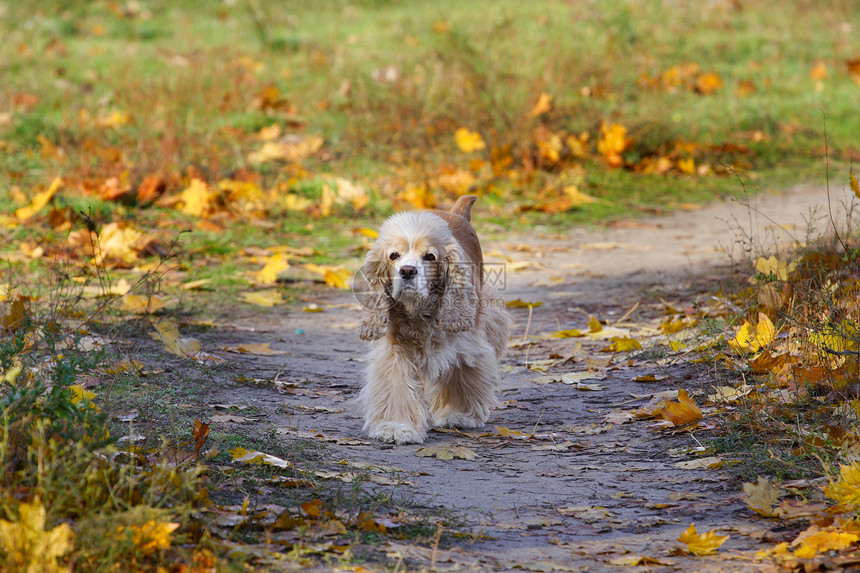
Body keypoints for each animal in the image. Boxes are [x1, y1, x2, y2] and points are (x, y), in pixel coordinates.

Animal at [358, 196, 510, 442]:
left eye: (430, 257)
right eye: (394, 255)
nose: (407, 271)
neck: (419, 309)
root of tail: (456, 213)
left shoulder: (465, 343)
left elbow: (461, 374)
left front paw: (458, 414)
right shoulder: (395, 348)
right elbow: (396, 385)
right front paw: (396, 426)